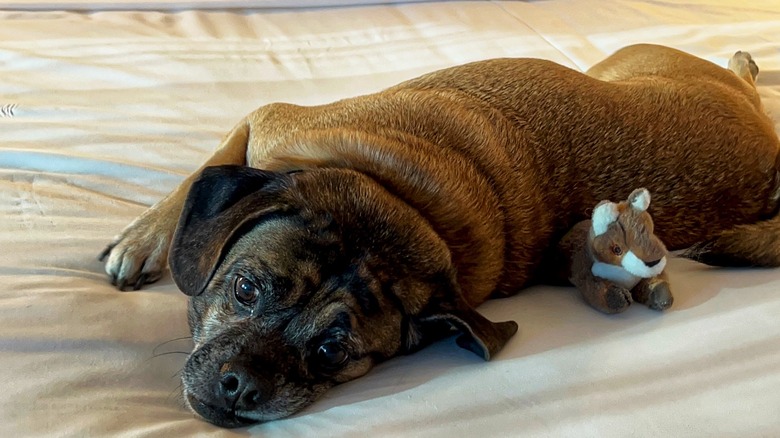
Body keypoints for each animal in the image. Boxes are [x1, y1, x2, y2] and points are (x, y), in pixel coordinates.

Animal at [99, 45, 780, 428]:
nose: (242, 385)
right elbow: (201, 170)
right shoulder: (264, 122)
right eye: (244, 289)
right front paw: (142, 240)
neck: (399, 197)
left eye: (332, 352)